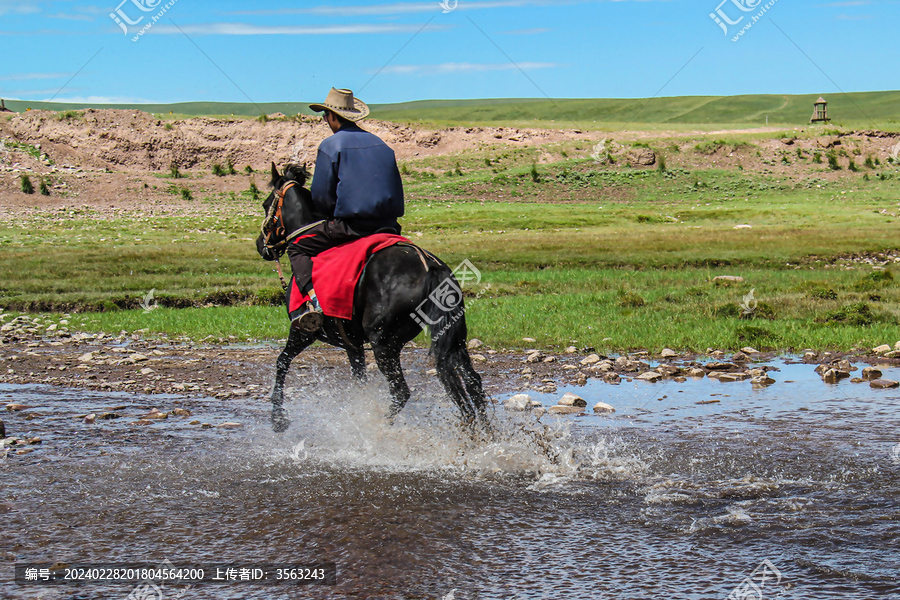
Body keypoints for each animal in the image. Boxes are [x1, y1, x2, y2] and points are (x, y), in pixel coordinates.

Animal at [255, 165, 492, 432]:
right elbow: (359, 381)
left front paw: (278, 418)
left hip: (383, 344)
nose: (261, 246)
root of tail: (430, 266)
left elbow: (281, 362)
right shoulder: (353, 344)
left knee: (400, 392)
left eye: (266, 204)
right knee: (472, 382)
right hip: (452, 339)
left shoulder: (302, 331)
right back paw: (486, 434)